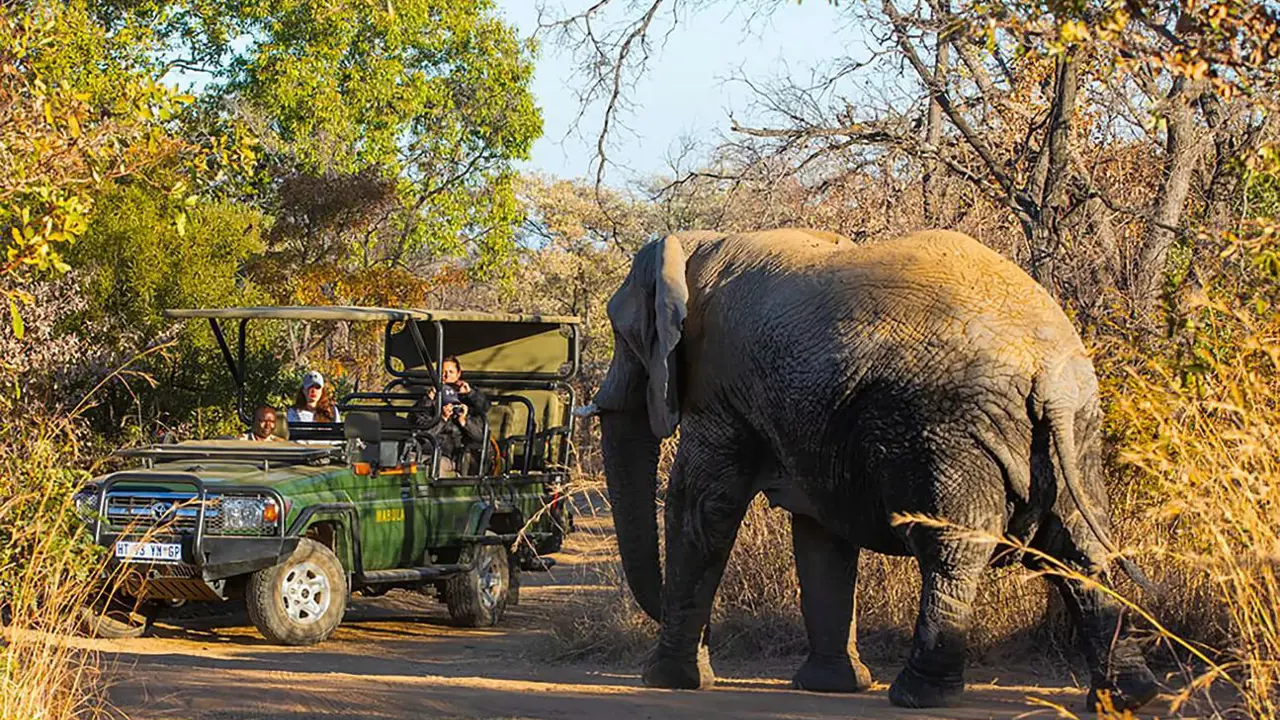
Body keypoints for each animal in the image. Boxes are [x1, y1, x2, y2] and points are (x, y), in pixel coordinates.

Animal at [584, 228, 1159, 711]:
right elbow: (820, 532)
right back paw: (1127, 698)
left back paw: (917, 695)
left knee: (953, 549)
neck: (697, 244)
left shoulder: (721, 384)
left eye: (624, 336)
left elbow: (702, 506)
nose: (711, 640)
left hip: (946, 427)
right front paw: (832, 686)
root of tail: (1048, 369)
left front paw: (667, 680)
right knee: (1080, 551)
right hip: (1077, 430)